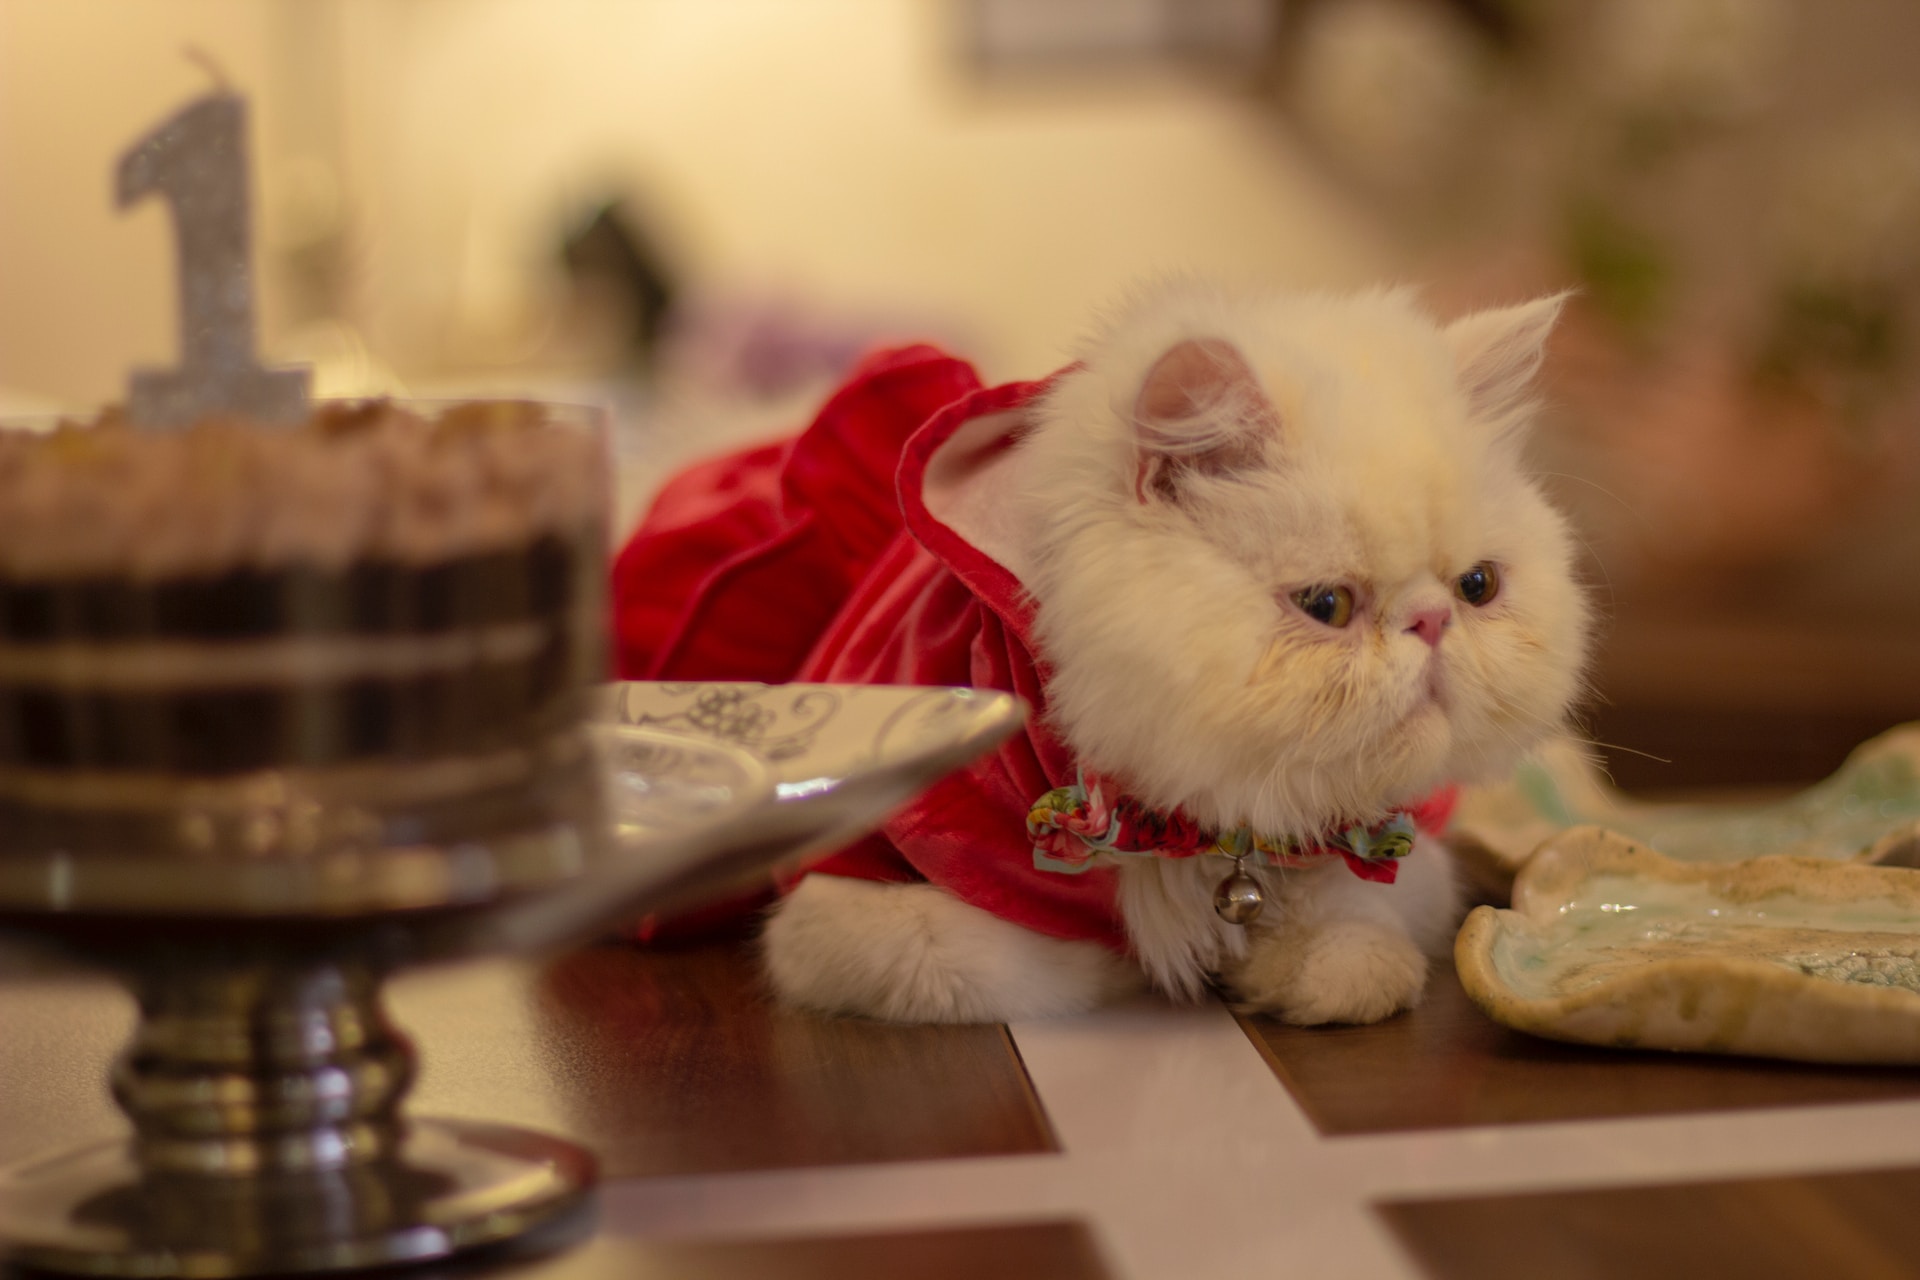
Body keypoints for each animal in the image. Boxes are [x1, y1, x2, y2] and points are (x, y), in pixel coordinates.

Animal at [756, 285, 1582, 1028]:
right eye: (1326, 606)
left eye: (1477, 587)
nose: (1433, 620)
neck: (1198, 832)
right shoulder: (862, 893)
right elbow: (1052, 959)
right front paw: (1172, 954)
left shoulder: (1406, 856)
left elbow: (1356, 931)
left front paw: (1281, 969)